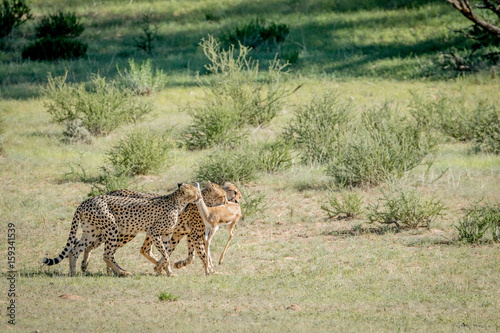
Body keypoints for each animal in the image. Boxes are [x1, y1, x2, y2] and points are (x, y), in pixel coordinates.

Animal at [40, 182, 201, 274]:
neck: (178, 203)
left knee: (75, 250)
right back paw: (122, 272)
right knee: (106, 254)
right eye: (196, 191)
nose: (200, 197)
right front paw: (162, 268)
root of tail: (86, 201)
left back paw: (73, 273)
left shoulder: (166, 234)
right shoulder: (154, 232)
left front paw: (167, 271)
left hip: (92, 231)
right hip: (112, 227)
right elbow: (166, 255)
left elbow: (166, 253)